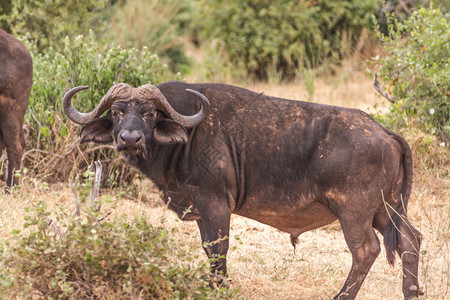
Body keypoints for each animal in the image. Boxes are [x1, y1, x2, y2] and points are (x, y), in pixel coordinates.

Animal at [64, 81, 426, 298]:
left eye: (149, 113)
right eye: (116, 112)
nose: (130, 138)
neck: (187, 137)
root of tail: (384, 132)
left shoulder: (214, 203)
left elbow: (218, 249)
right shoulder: (201, 210)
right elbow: (209, 250)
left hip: (355, 212)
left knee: (366, 249)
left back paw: (342, 295)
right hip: (387, 209)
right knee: (410, 239)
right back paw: (411, 291)